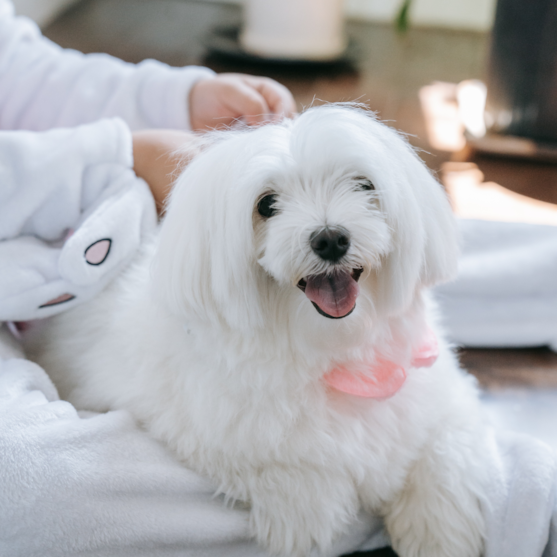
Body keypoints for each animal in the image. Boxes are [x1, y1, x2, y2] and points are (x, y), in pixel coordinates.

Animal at [28, 105, 484, 556]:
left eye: (362, 185)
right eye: (266, 205)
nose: (330, 238)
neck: (331, 351)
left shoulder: (439, 395)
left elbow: (444, 448)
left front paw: (438, 531)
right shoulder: (194, 424)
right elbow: (277, 463)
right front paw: (309, 510)